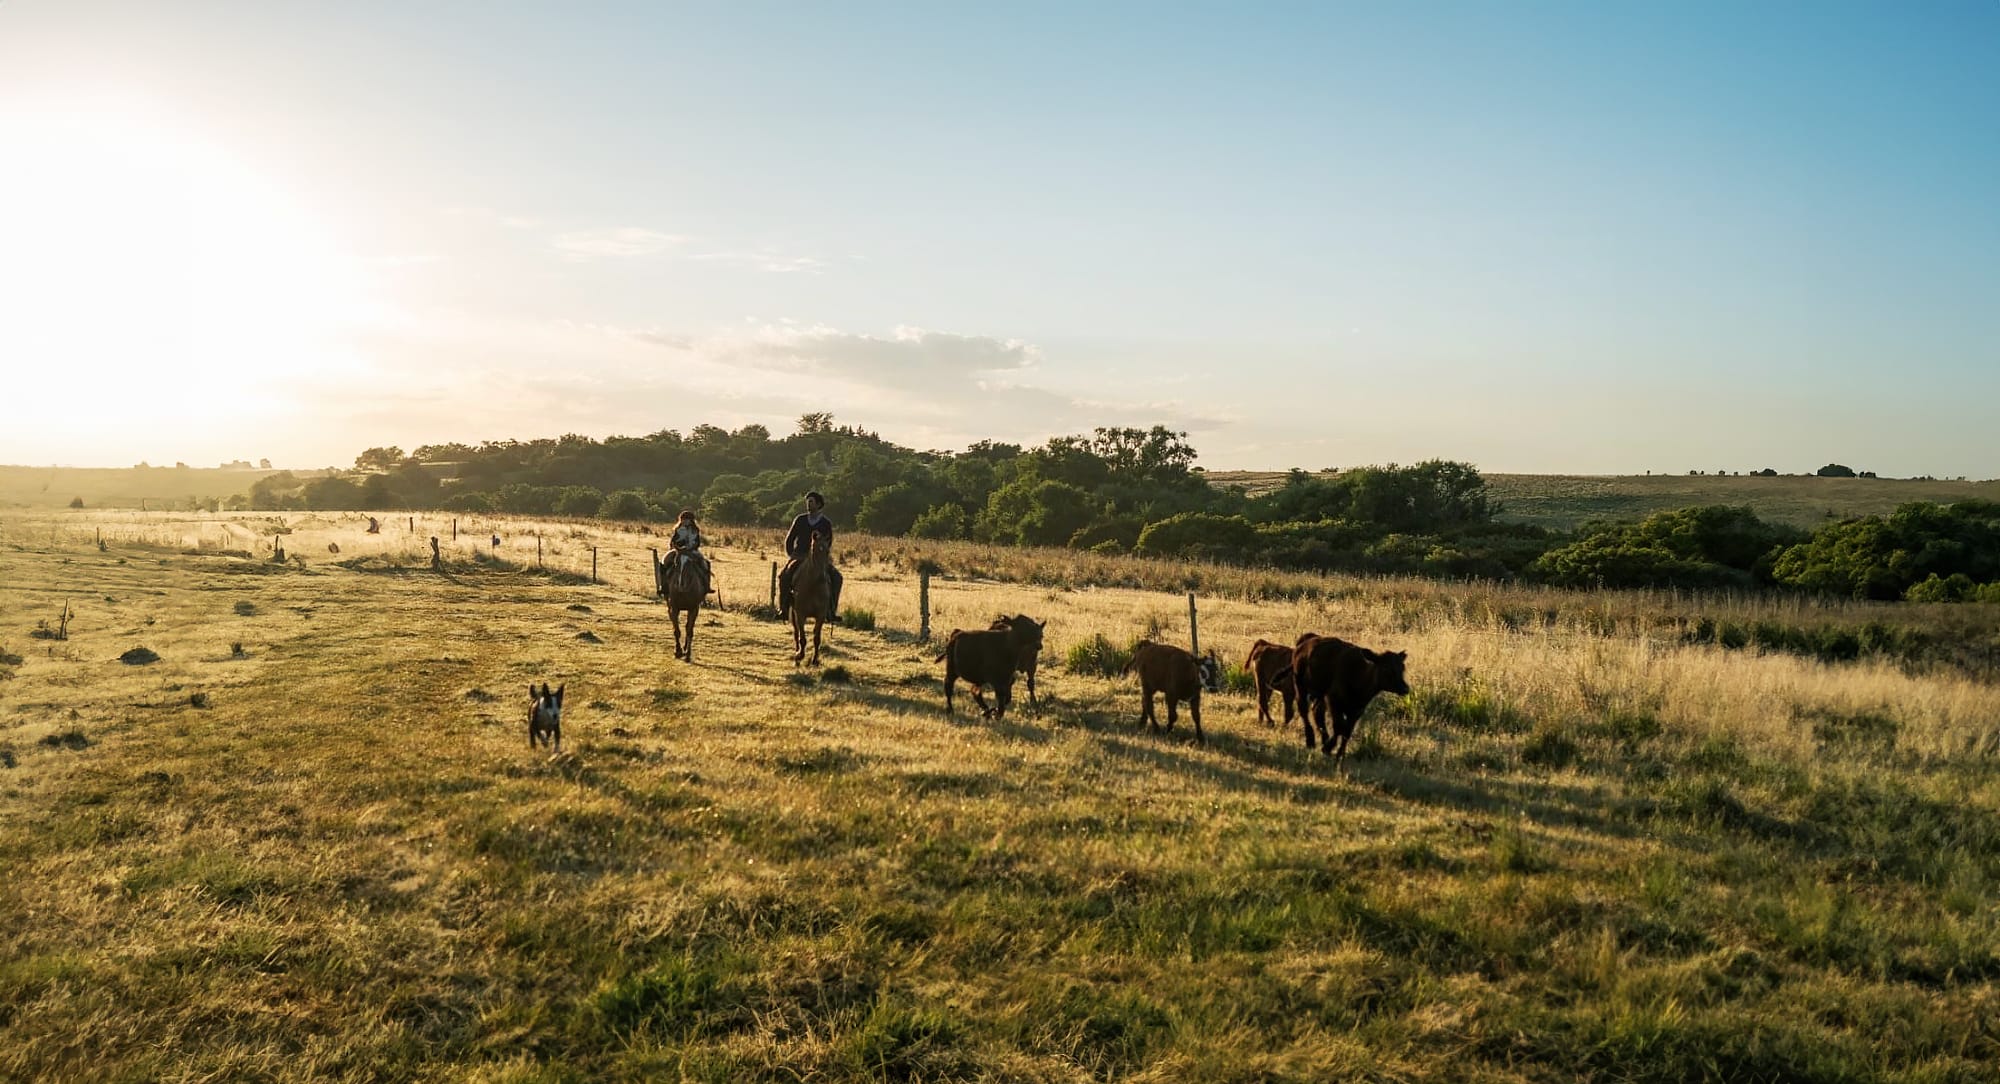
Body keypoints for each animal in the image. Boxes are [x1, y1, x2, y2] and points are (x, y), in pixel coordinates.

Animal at [1290, 634, 1410, 764]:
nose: (1405, 688)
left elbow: (1347, 730)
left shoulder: (1357, 710)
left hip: (1319, 694)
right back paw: (1310, 740)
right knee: (1303, 710)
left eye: (1402, 668)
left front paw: (1339, 754)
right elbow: (1339, 726)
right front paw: (1328, 748)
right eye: (1387, 669)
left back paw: (1324, 738)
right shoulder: (1334, 701)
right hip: (1299, 685)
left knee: (1317, 712)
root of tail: (1308, 640)